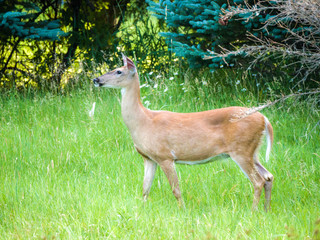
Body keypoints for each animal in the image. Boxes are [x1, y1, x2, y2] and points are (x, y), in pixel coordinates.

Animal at [93, 53, 276, 211]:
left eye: (119, 71)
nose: (96, 79)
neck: (143, 122)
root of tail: (264, 119)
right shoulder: (149, 158)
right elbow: (145, 188)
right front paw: (141, 210)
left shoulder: (165, 156)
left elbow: (176, 189)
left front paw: (183, 210)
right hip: (252, 152)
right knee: (268, 176)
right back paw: (266, 210)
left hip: (241, 149)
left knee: (258, 181)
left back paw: (253, 211)